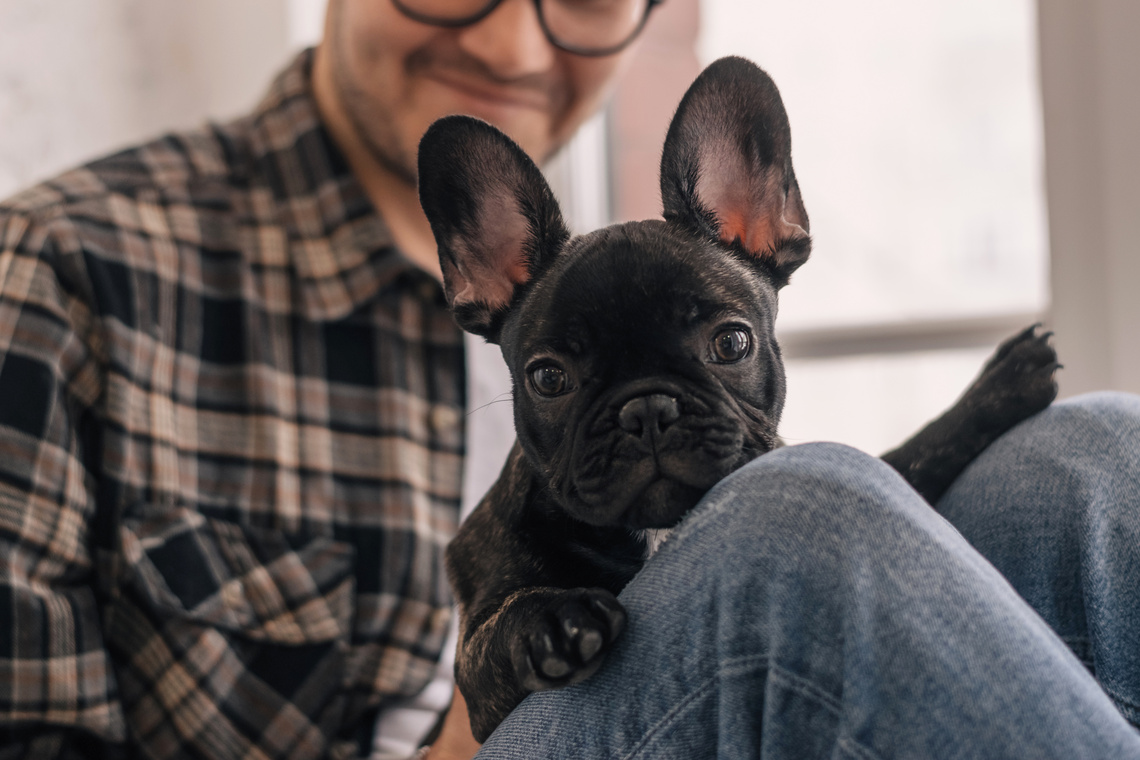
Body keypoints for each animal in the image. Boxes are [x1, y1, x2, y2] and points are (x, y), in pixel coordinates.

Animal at [419, 54, 1057, 742]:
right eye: (548, 379)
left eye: (731, 343)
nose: (646, 410)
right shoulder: (479, 668)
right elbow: (494, 631)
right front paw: (548, 622)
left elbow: (907, 456)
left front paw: (997, 387)